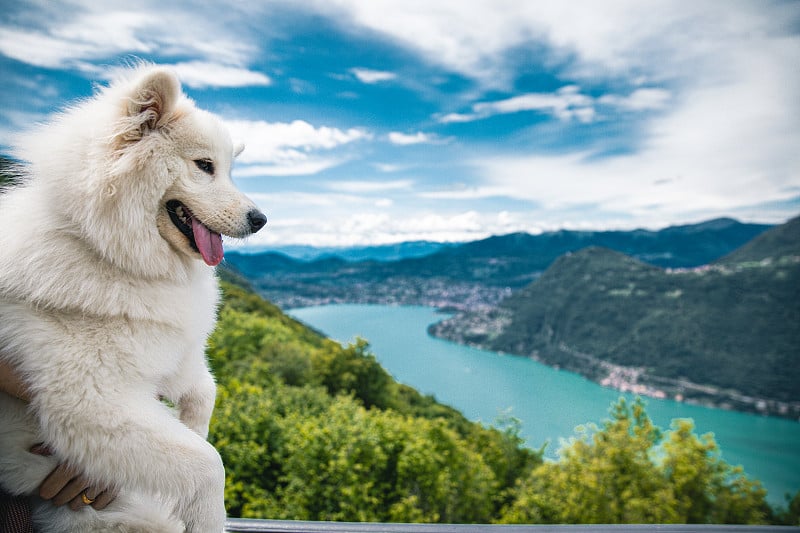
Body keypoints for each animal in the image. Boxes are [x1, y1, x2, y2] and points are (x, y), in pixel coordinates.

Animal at [0, 64, 268, 528]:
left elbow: (205, 391)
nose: (261, 219)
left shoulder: (171, 353)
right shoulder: (94, 405)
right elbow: (209, 464)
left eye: (229, 170)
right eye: (204, 166)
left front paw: (195, 425)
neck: (110, 252)